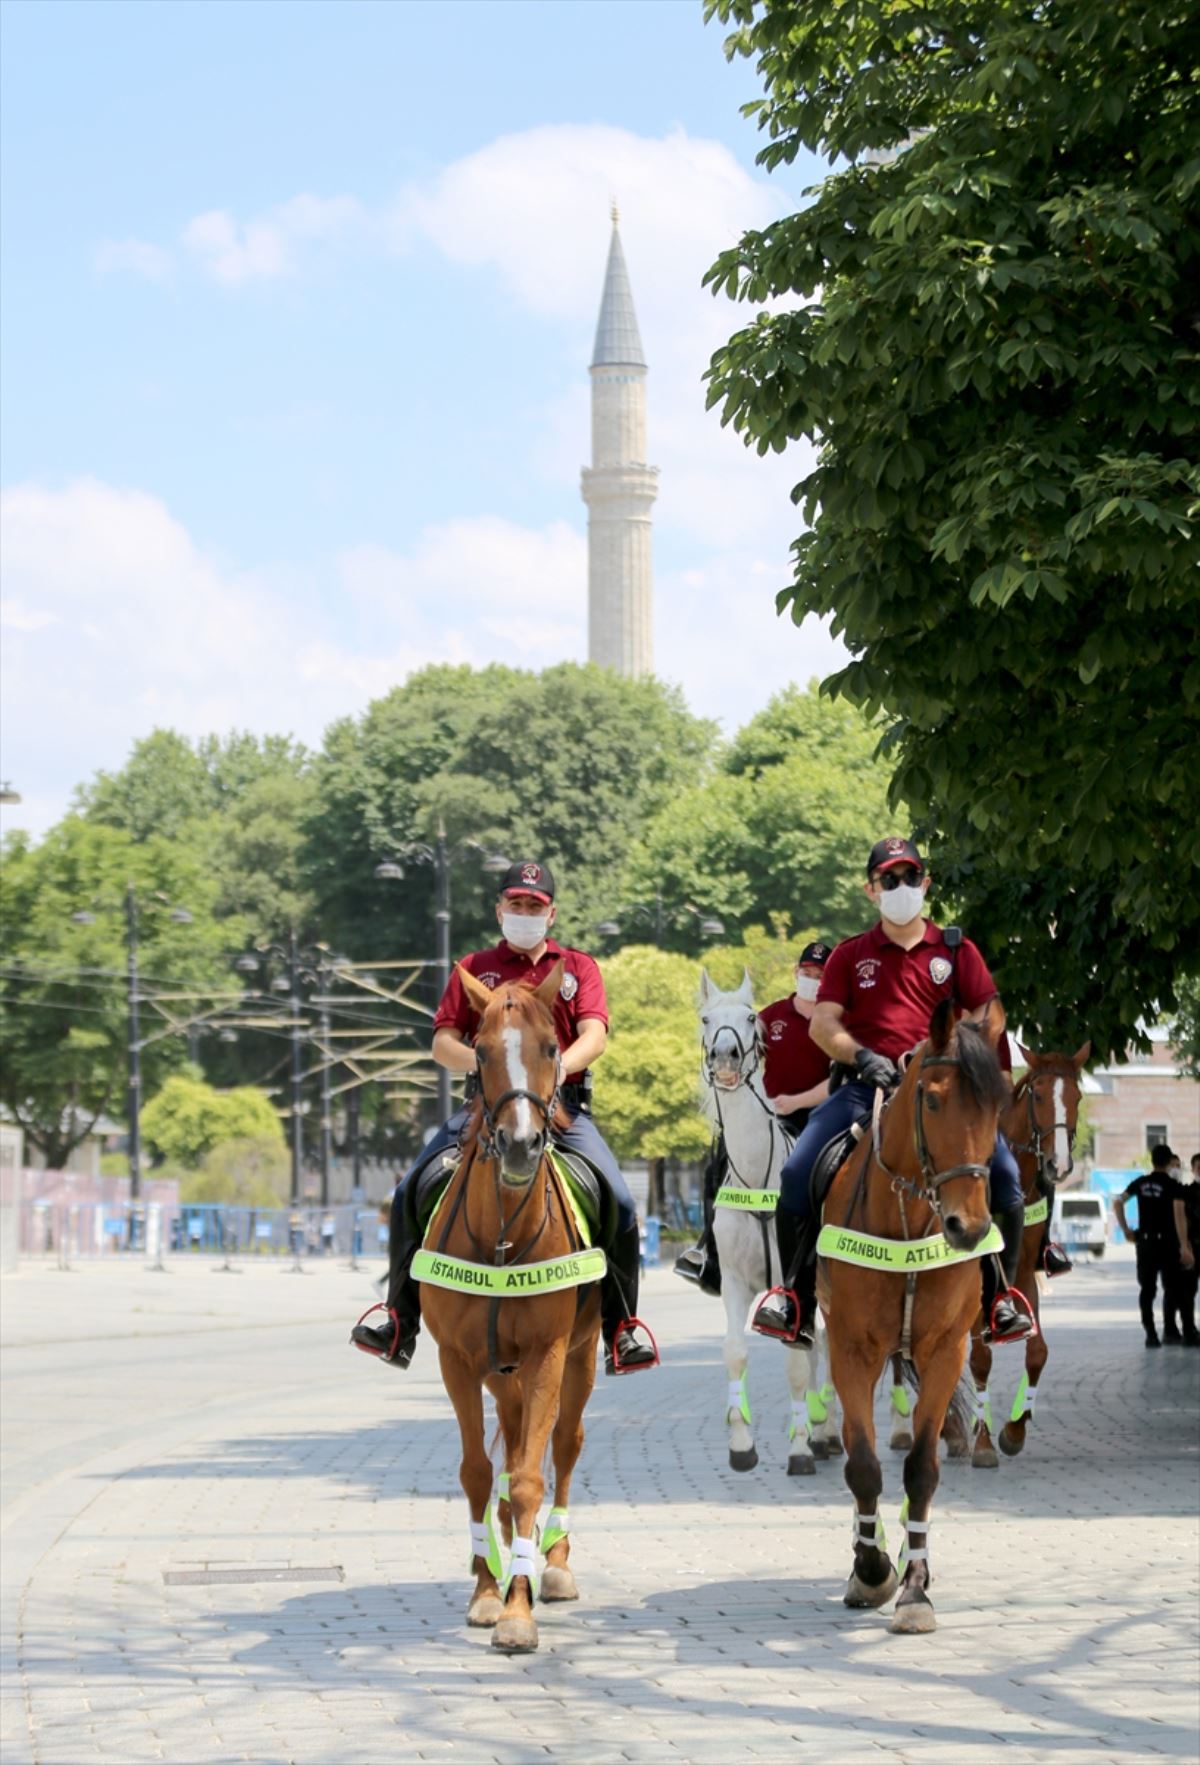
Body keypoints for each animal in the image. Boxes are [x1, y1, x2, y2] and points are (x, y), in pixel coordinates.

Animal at [416, 960, 603, 1644]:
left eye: (551, 1047)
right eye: (479, 1050)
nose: (521, 1145)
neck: (501, 1237)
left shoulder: (549, 1352)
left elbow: (528, 1477)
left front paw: (519, 1611)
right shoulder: (456, 1359)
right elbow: (476, 1471)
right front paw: (486, 1589)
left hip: (579, 1357)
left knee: (564, 1444)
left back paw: (555, 1562)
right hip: (503, 1372)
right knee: (516, 1430)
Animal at [698, 974, 840, 1468]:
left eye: (748, 1018)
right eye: (706, 1019)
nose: (725, 1057)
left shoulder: (788, 1281)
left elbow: (796, 1362)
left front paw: (799, 1448)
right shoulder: (734, 1282)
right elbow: (735, 1352)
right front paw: (741, 1444)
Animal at [818, 1002, 1009, 1630]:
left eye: (997, 1106)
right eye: (932, 1099)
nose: (967, 1228)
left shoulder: (944, 1349)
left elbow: (922, 1469)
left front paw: (916, 1589)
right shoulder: (850, 1350)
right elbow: (862, 1465)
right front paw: (872, 1570)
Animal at [967, 1037, 1087, 1468]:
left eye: (1077, 1096)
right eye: (1036, 1094)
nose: (1058, 1164)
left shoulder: (1021, 1274)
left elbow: (1037, 1352)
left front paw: (1014, 1430)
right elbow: (980, 1359)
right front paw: (984, 1442)